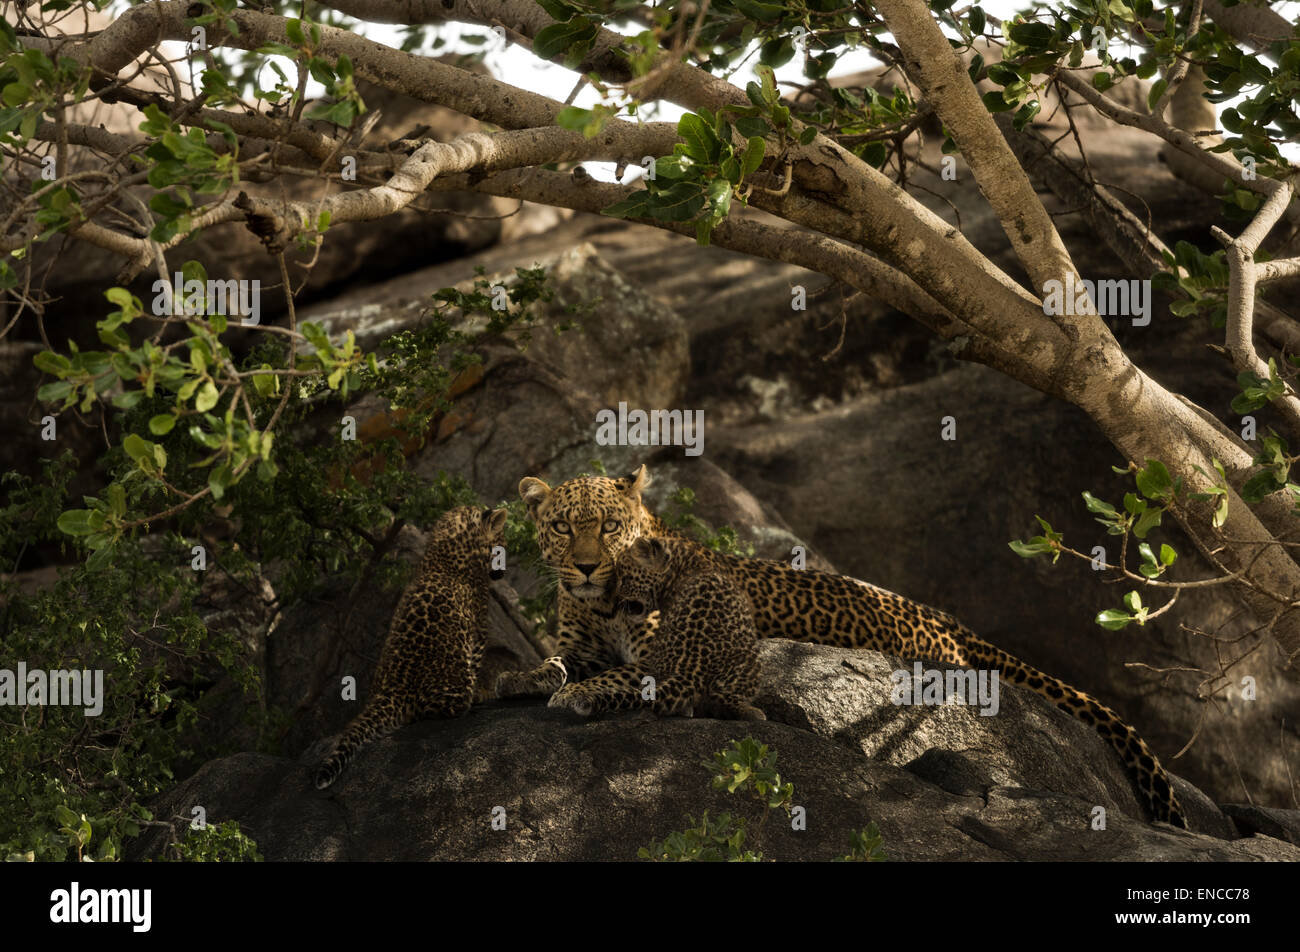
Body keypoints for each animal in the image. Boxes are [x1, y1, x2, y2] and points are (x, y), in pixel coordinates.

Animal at [496, 460, 1190, 827]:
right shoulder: (581, 641)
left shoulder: (666, 657)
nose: (588, 567)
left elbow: (617, 677)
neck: (601, 603)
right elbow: (557, 659)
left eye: (610, 526)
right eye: (564, 527)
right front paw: (521, 676)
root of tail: (945, 617)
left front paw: (578, 695)